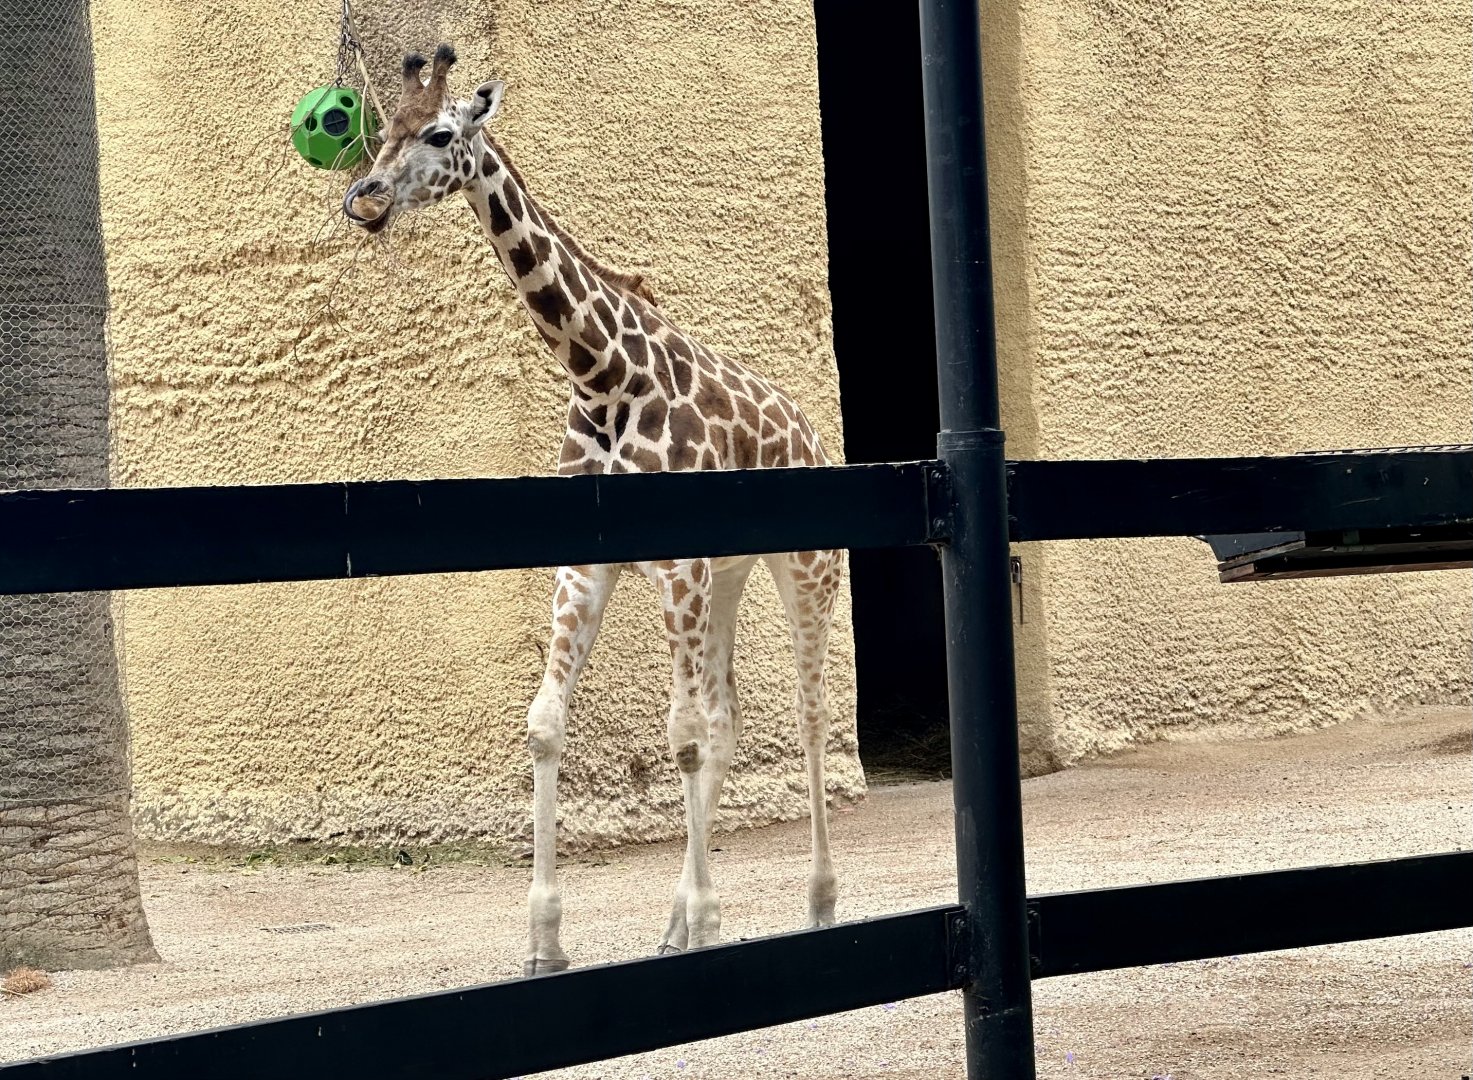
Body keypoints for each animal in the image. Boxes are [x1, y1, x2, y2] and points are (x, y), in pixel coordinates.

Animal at [342, 46, 845, 975]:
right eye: (382, 130)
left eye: (438, 134)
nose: (366, 198)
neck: (601, 374)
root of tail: (806, 430)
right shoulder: (590, 560)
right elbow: (547, 724)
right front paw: (546, 939)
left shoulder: (676, 563)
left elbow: (681, 734)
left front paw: (708, 921)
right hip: (728, 575)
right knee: (728, 717)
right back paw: (676, 924)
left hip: (806, 569)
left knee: (807, 713)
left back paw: (818, 904)